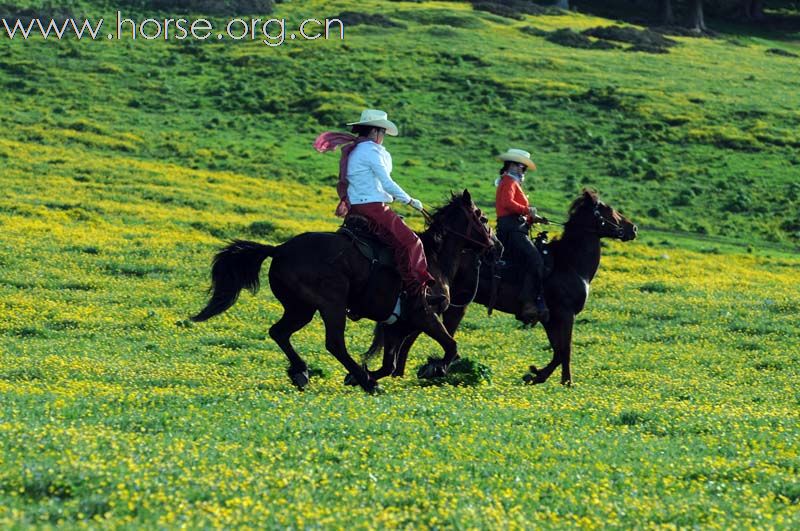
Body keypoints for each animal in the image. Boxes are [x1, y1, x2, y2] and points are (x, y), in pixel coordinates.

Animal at [192, 191, 494, 394]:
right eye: (482, 217)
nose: (495, 245)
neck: (434, 258)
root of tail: (279, 249)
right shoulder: (424, 315)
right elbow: (451, 347)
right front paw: (433, 368)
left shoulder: (397, 325)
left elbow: (390, 363)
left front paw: (366, 375)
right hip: (331, 305)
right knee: (334, 343)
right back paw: (365, 383)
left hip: (301, 309)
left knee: (279, 332)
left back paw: (303, 373)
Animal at [364, 191, 636, 386]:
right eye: (608, 210)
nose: (632, 228)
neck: (569, 263)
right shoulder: (564, 314)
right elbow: (564, 350)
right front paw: (559, 381)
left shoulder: (550, 318)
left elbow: (559, 351)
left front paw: (538, 375)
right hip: (449, 307)